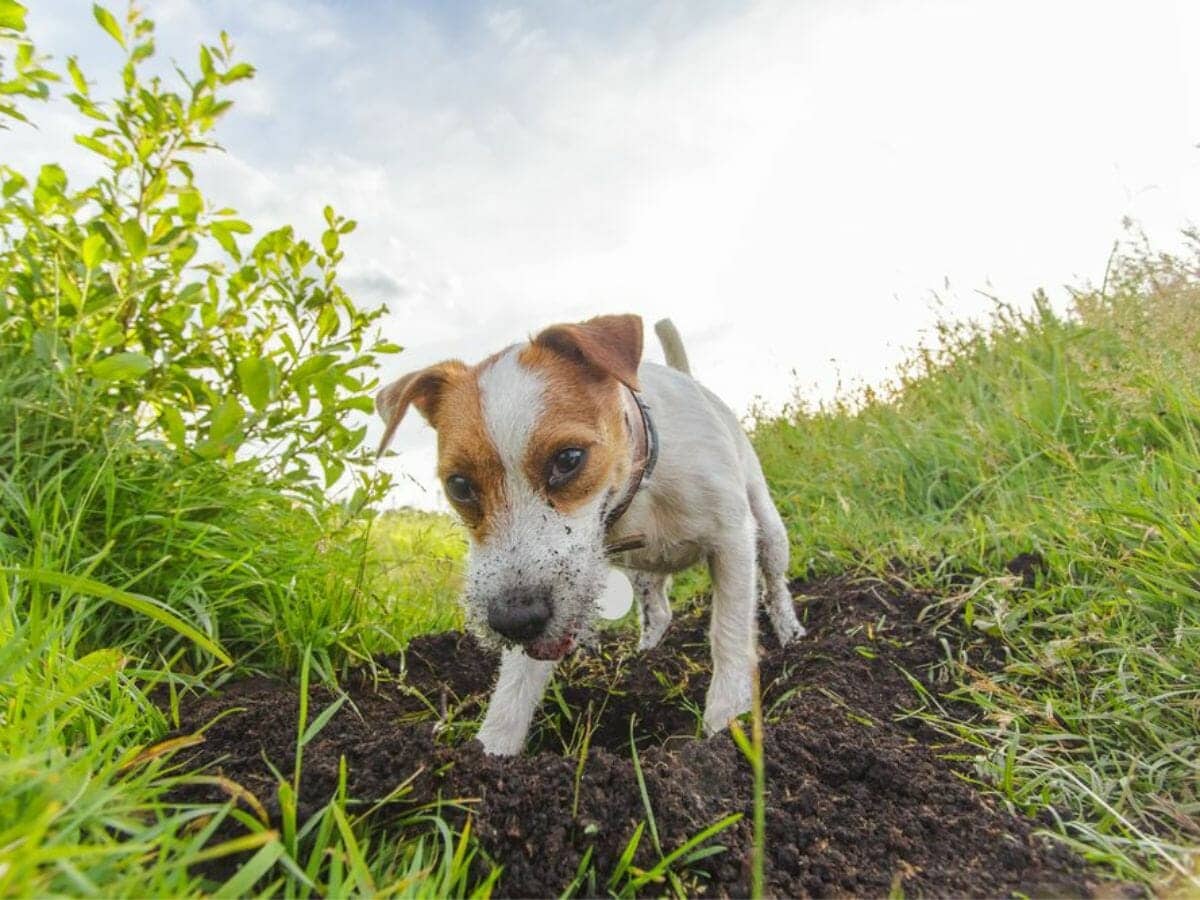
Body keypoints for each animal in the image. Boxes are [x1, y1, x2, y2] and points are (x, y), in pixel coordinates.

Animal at [374, 314, 806, 753]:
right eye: (459, 486)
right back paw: (646, 654)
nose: (514, 620)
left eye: (568, 459)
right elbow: (516, 681)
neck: (639, 485)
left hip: (768, 529)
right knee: (658, 612)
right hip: (640, 573)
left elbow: (730, 632)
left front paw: (727, 719)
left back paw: (791, 634)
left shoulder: (731, 540)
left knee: (774, 584)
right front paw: (492, 747)